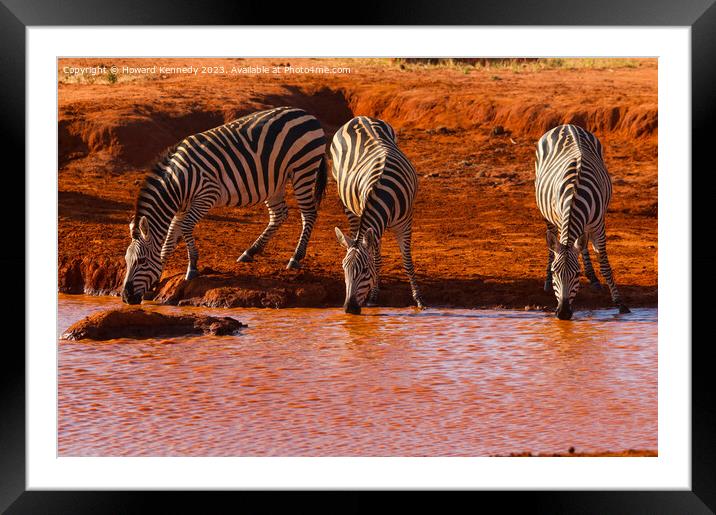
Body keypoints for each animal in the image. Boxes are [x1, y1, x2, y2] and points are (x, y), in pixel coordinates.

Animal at [121, 106, 328, 304]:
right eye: (126, 261)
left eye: (141, 261)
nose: (125, 298)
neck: (178, 182)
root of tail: (307, 114)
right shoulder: (182, 207)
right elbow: (170, 239)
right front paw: (159, 274)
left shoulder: (206, 196)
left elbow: (186, 228)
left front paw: (192, 268)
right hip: (274, 181)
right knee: (280, 214)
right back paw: (250, 252)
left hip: (303, 169)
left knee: (309, 213)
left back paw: (295, 257)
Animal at [332, 116, 426, 314]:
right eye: (343, 269)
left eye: (364, 271)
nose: (349, 309)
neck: (383, 192)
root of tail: (359, 117)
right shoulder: (371, 221)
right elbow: (377, 260)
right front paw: (373, 298)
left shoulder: (405, 222)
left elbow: (407, 261)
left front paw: (419, 299)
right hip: (345, 198)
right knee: (355, 230)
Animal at [536, 124, 628, 318]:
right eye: (555, 273)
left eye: (577, 274)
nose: (563, 313)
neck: (575, 195)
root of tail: (566, 125)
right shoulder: (560, 219)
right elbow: (561, 247)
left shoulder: (599, 225)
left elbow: (605, 265)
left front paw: (620, 303)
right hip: (547, 215)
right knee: (552, 244)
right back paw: (546, 281)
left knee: (582, 244)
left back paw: (593, 278)